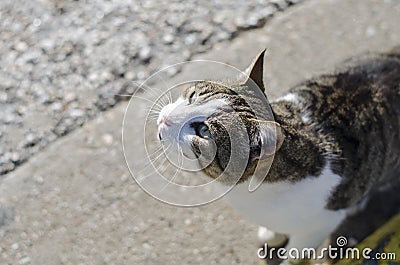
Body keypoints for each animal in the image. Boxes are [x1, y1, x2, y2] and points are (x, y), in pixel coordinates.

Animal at [157, 47, 400, 260]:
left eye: (203, 131)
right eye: (192, 96)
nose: (164, 118)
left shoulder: (321, 224)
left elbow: (295, 253)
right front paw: (271, 233)